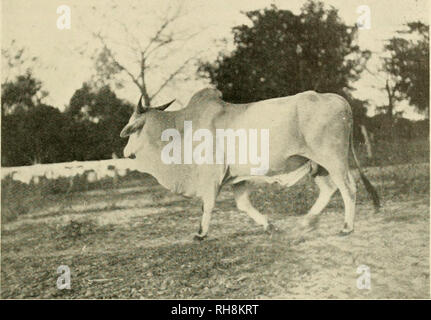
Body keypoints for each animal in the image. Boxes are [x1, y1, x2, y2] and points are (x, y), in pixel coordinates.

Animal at [120, 89, 380, 239]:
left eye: (132, 127)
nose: (125, 151)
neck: (180, 129)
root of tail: (337, 99)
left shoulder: (211, 176)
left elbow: (207, 205)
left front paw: (201, 233)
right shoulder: (237, 177)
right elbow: (244, 205)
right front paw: (269, 226)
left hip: (333, 159)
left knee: (348, 188)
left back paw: (346, 227)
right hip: (318, 165)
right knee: (329, 189)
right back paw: (307, 222)